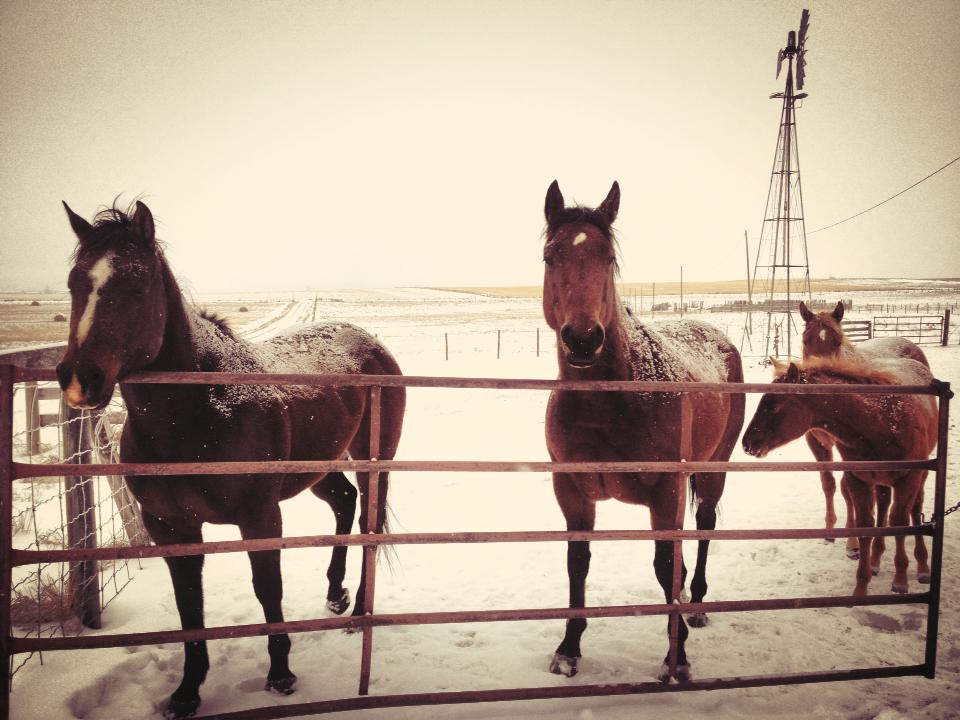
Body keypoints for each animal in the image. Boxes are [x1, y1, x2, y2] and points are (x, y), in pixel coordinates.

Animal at [56, 201, 405, 719]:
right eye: (75, 283)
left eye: (137, 284)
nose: (80, 379)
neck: (198, 410)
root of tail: (368, 340)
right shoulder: (169, 526)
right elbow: (189, 604)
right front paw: (187, 690)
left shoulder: (260, 516)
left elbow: (267, 586)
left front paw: (280, 674)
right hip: (320, 467)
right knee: (343, 503)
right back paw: (335, 595)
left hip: (372, 462)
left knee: (369, 523)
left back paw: (361, 609)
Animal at [541, 180, 745, 682]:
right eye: (550, 256)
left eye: (609, 258)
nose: (582, 339)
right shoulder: (570, 490)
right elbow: (578, 564)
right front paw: (569, 649)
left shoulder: (666, 492)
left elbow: (665, 563)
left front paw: (678, 655)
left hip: (714, 468)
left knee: (705, 526)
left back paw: (697, 605)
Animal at [741, 356, 936, 596]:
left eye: (773, 405)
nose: (747, 443)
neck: (882, 424)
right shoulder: (859, 480)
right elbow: (866, 527)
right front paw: (860, 588)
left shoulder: (908, 479)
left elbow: (900, 523)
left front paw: (900, 581)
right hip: (881, 481)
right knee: (883, 507)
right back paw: (875, 560)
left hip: (919, 476)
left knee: (915, 509)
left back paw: (923, 567)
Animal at [798, 300, 930, 560]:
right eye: (806, 340)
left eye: (837, 341)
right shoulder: (816, 442)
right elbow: (828, 483)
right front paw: (830, 530)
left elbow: (847, 488)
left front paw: (853, 543)